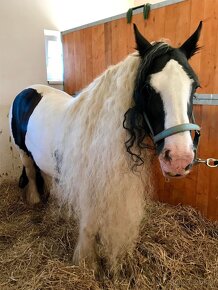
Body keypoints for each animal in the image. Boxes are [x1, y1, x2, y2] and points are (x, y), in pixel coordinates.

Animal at [9, 23, 202, 270]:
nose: (178, 159)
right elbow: (89, 225)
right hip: (23, 152)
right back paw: (34, 200)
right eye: (147, 89)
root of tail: (29, 90)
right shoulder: (90, 186)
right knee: (32, 174)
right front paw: (86, 262)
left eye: (194, 86)